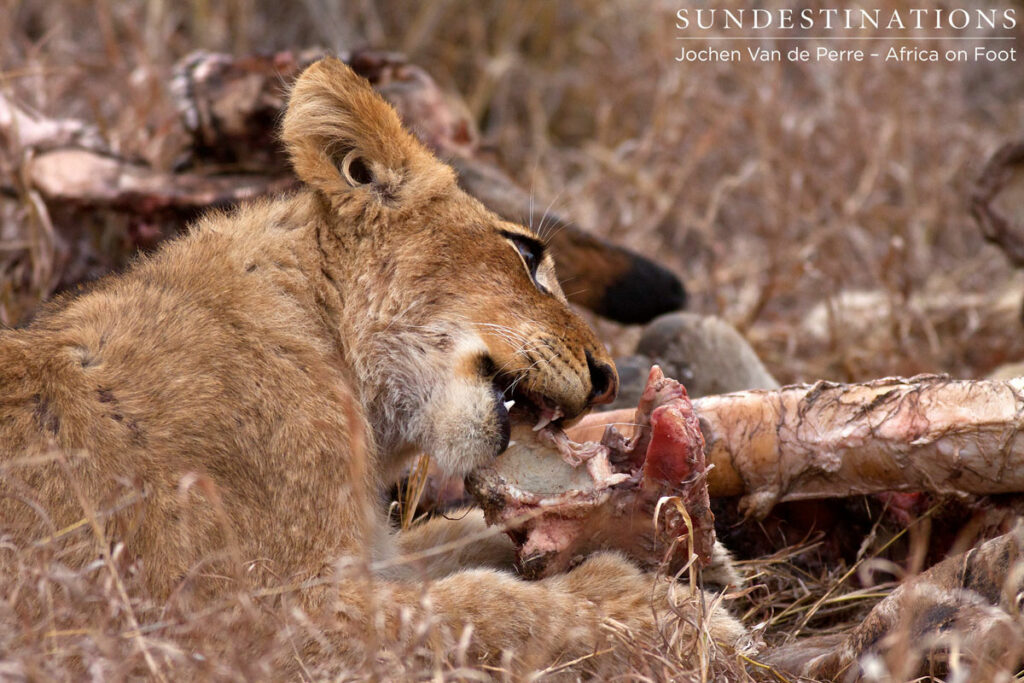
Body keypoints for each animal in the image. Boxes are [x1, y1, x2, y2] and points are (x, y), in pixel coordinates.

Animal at [0, 58, 744, 674]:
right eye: (527, 255)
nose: (607, 374)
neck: (328, 342)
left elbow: (457, 538)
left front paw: (688, 556)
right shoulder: (253, 617)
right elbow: (492, 606)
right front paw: (683, 619)